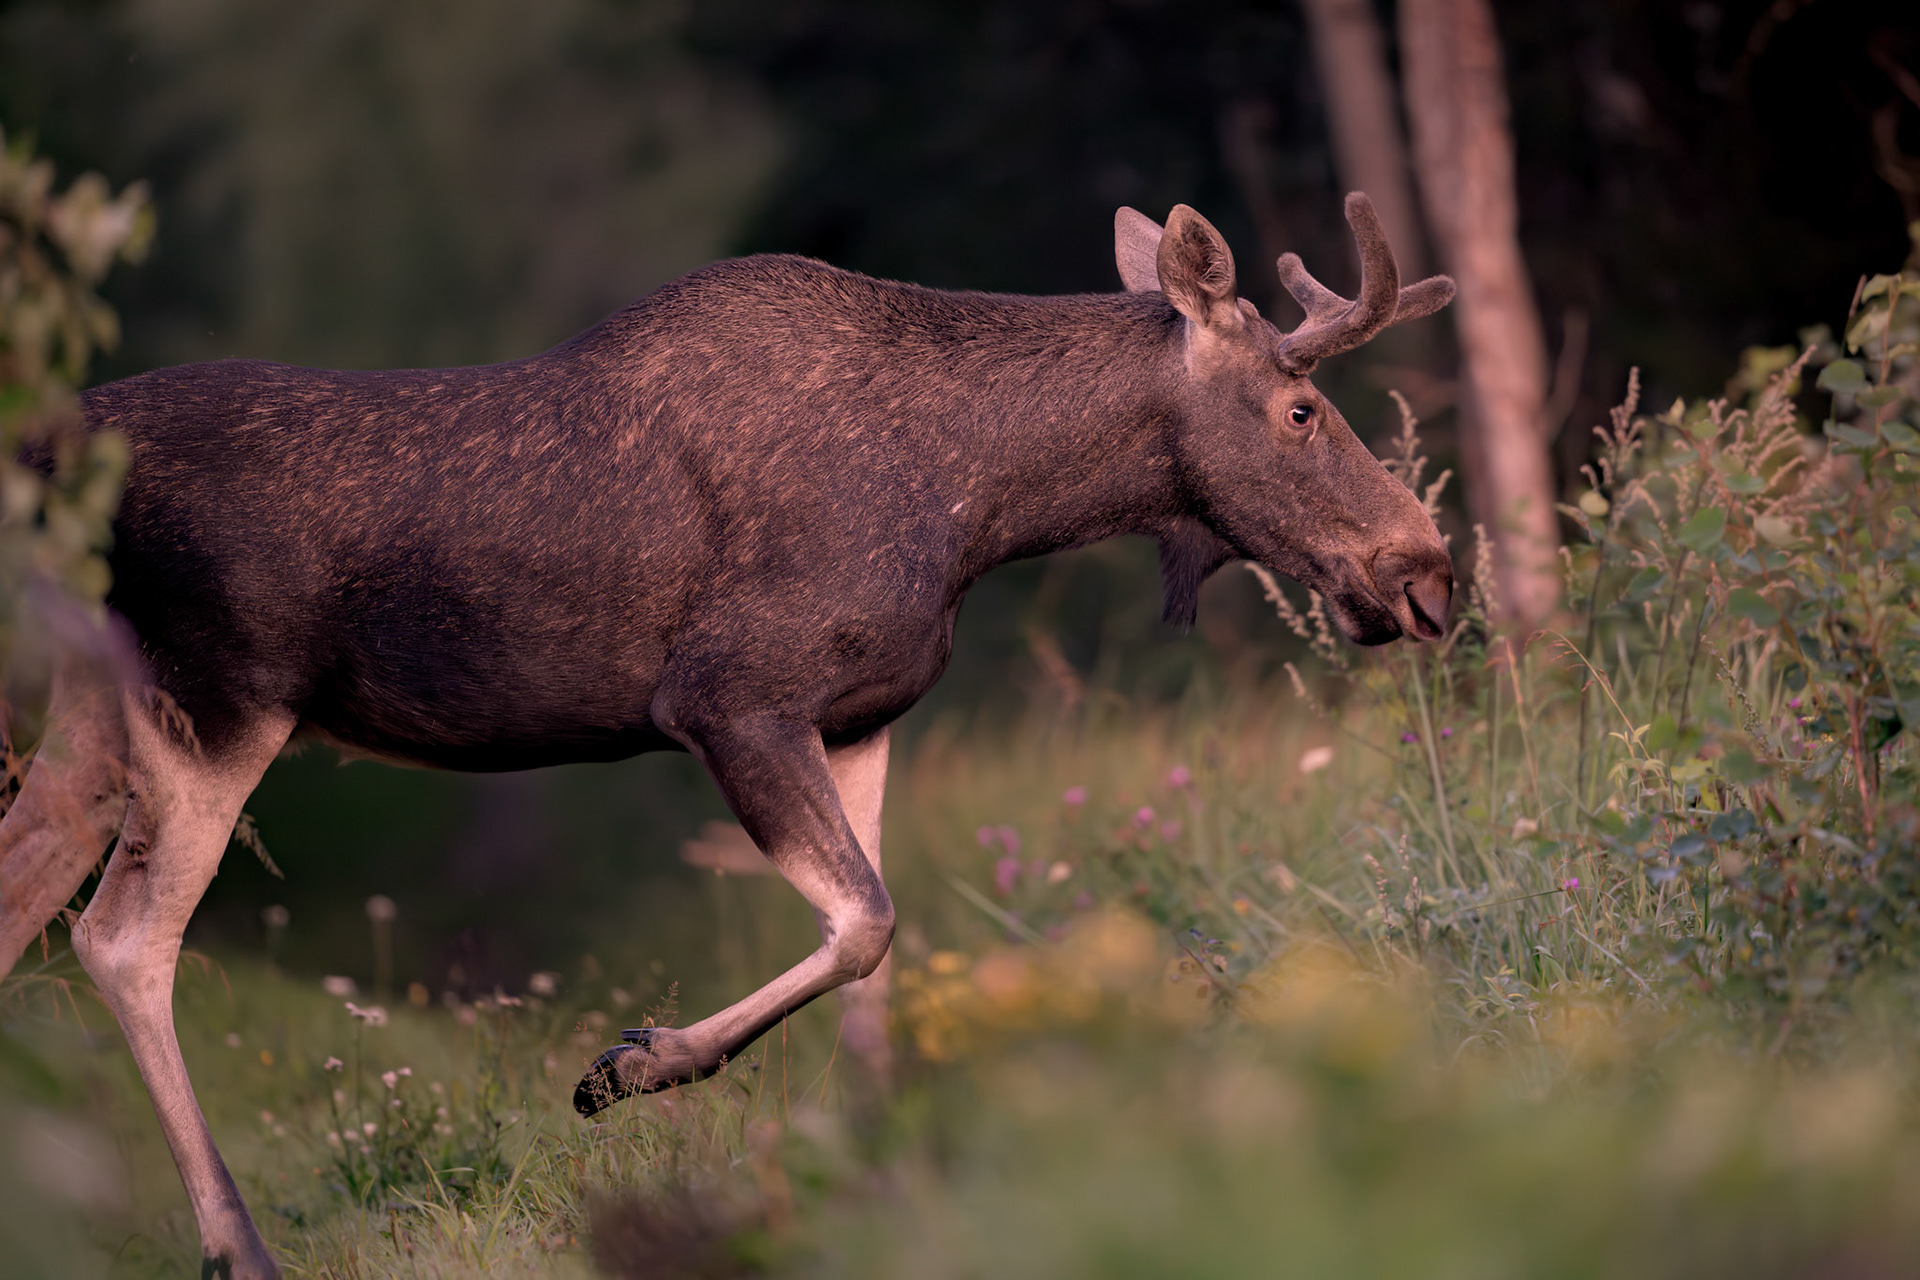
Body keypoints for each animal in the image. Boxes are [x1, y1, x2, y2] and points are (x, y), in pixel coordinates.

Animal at [0, 192, 1452, 1278]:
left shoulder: (859, 717)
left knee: (26, 890)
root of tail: (49, 455)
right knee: (121, 939)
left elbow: (874, 959)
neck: (984, 504)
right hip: (218, 696)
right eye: (1302, 409)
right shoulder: (727, 698)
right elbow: (864, 923)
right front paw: (629, 1065)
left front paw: (871, 1174)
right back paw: (236, 1244)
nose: (1430, 570)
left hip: (98, 717)